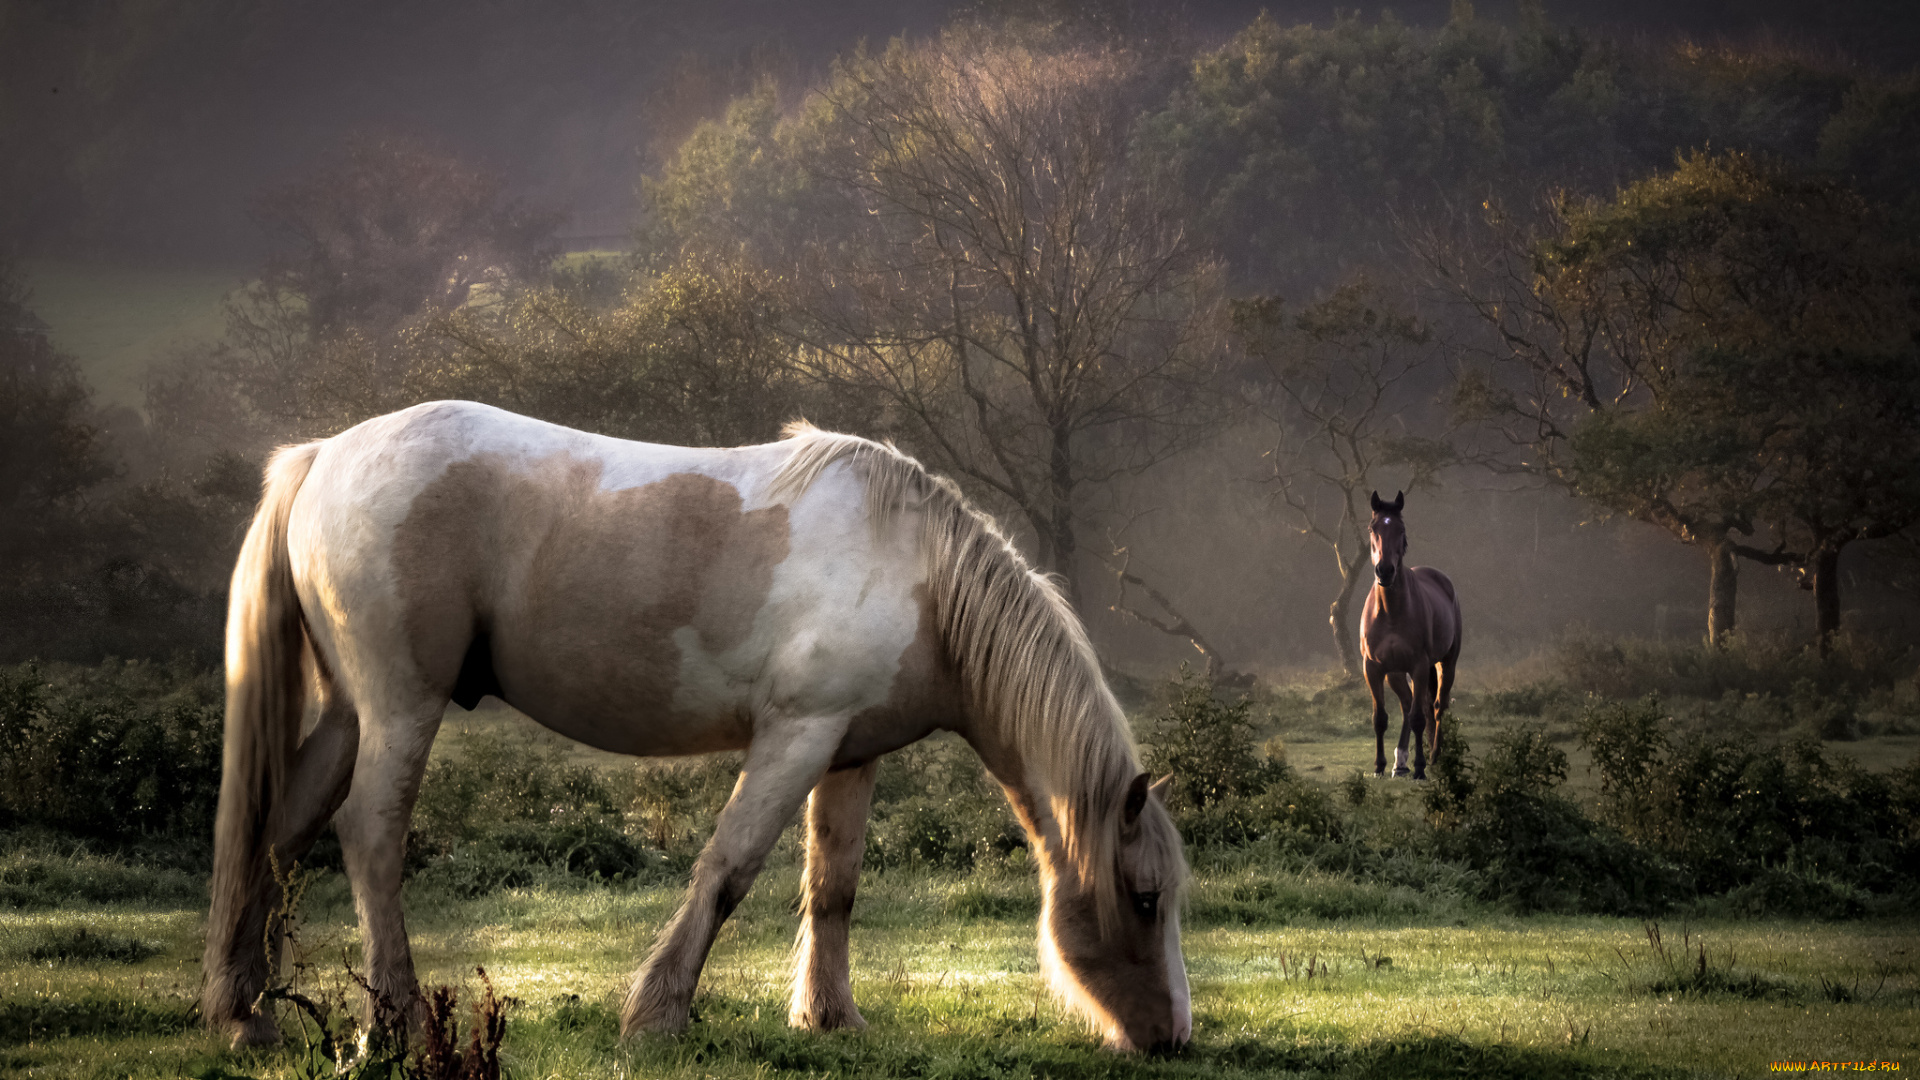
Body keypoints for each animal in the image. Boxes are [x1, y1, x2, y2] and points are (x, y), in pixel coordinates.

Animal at [194, 399, 1182, 1045]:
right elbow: (728, 870)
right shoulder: (795, 737)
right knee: (369, 837)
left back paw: (246, 1016)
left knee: (281, 835)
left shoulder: (847, 754)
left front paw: (831, 1020)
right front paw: (658, 1017)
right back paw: (392, 1026)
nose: (1172, 1038)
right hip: (400, 706)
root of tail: (323, 456)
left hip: (349, 715)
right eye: (1144, 898)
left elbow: (833, 888)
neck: (921, 579)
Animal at [1359, 491, 1459, 776]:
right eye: (1372, 528)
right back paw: (1400, 762)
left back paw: (1434, 756)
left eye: (1401, 529)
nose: (1385, 570)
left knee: (1436, 707)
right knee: (1405, 705)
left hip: (1446, 664)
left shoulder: (1419, 665)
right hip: (1394, 673)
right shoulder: (1373, 668)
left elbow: (1418, 718)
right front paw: (1379, 766)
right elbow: (1380, 719)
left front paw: (1420, 769)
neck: (1391, 612)